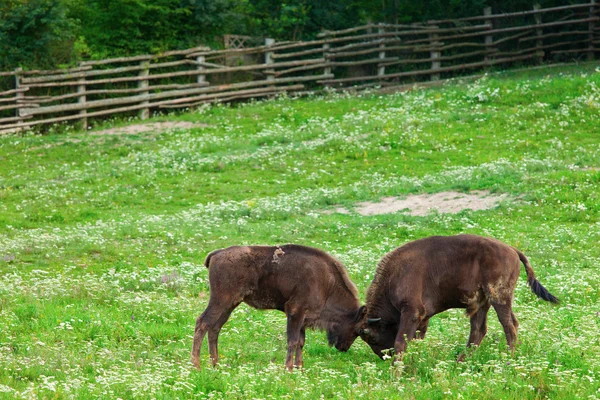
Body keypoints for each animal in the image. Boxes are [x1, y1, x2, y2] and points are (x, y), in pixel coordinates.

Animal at [191, 245, 366, 370]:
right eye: (358, 329)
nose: (343, 348)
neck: (327, 283)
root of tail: (217, 254)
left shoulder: (302, 318)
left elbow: (301, 342)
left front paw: (299, 368)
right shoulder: (295, 311)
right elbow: (293, 341)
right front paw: (288, 368)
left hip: (230, 304)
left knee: (215, 328)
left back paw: (215, 365)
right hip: (221, 300)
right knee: (202, 322)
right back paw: (196, 366)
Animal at [356, 234, 556, 362]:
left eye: (372, 337)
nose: (384, 357)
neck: (393, 277)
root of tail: (513, 250)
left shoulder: (411, 312)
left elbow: (401, 341)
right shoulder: (422, 318)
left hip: (499, 297)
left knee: (509, 326)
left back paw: (508, 359)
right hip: (483, 302)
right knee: (479, 329)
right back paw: (461, 361)